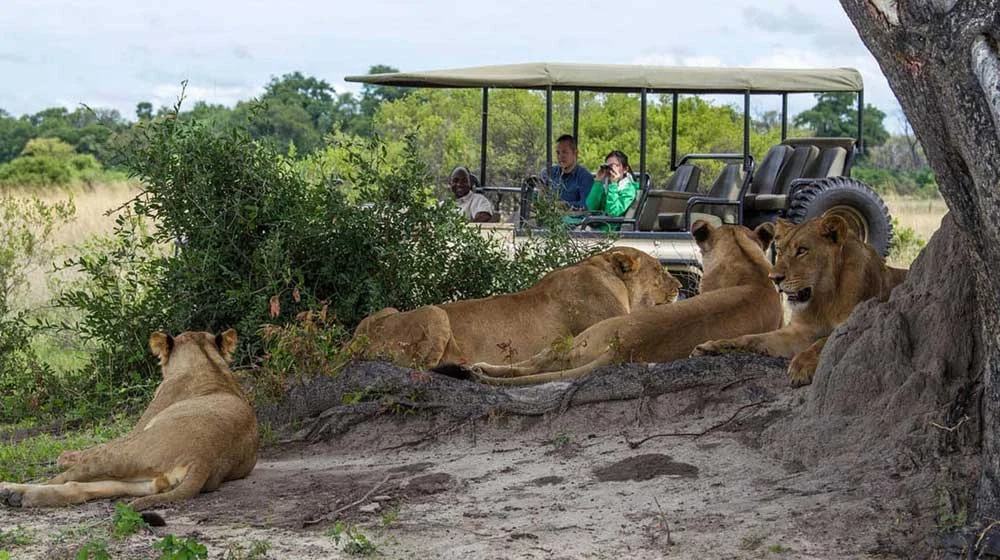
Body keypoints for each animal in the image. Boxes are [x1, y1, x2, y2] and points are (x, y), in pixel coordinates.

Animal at [0, 330, 258, 510]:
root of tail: (204, 459)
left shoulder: (136, 429)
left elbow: (86, 450)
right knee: (87, 486)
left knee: (64, 477)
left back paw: (10, 489)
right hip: (147, 480)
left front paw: (64, 456)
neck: (209, 363)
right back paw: (19, 496)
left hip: (124, 452)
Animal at [348, 247, 684, 370]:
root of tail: (353, 343)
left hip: (385, 311)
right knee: (421, 366)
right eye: (659, 270)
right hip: (435, 312)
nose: (681, 286)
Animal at [692, 212, 912, 388]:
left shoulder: (856, 325)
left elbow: (825, 341)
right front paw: (712, 346)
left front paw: (801, 366)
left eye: (802, 250)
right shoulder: (798, 331)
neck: (824, 298)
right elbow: (752, 338)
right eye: (780, 250)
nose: (774, 278)